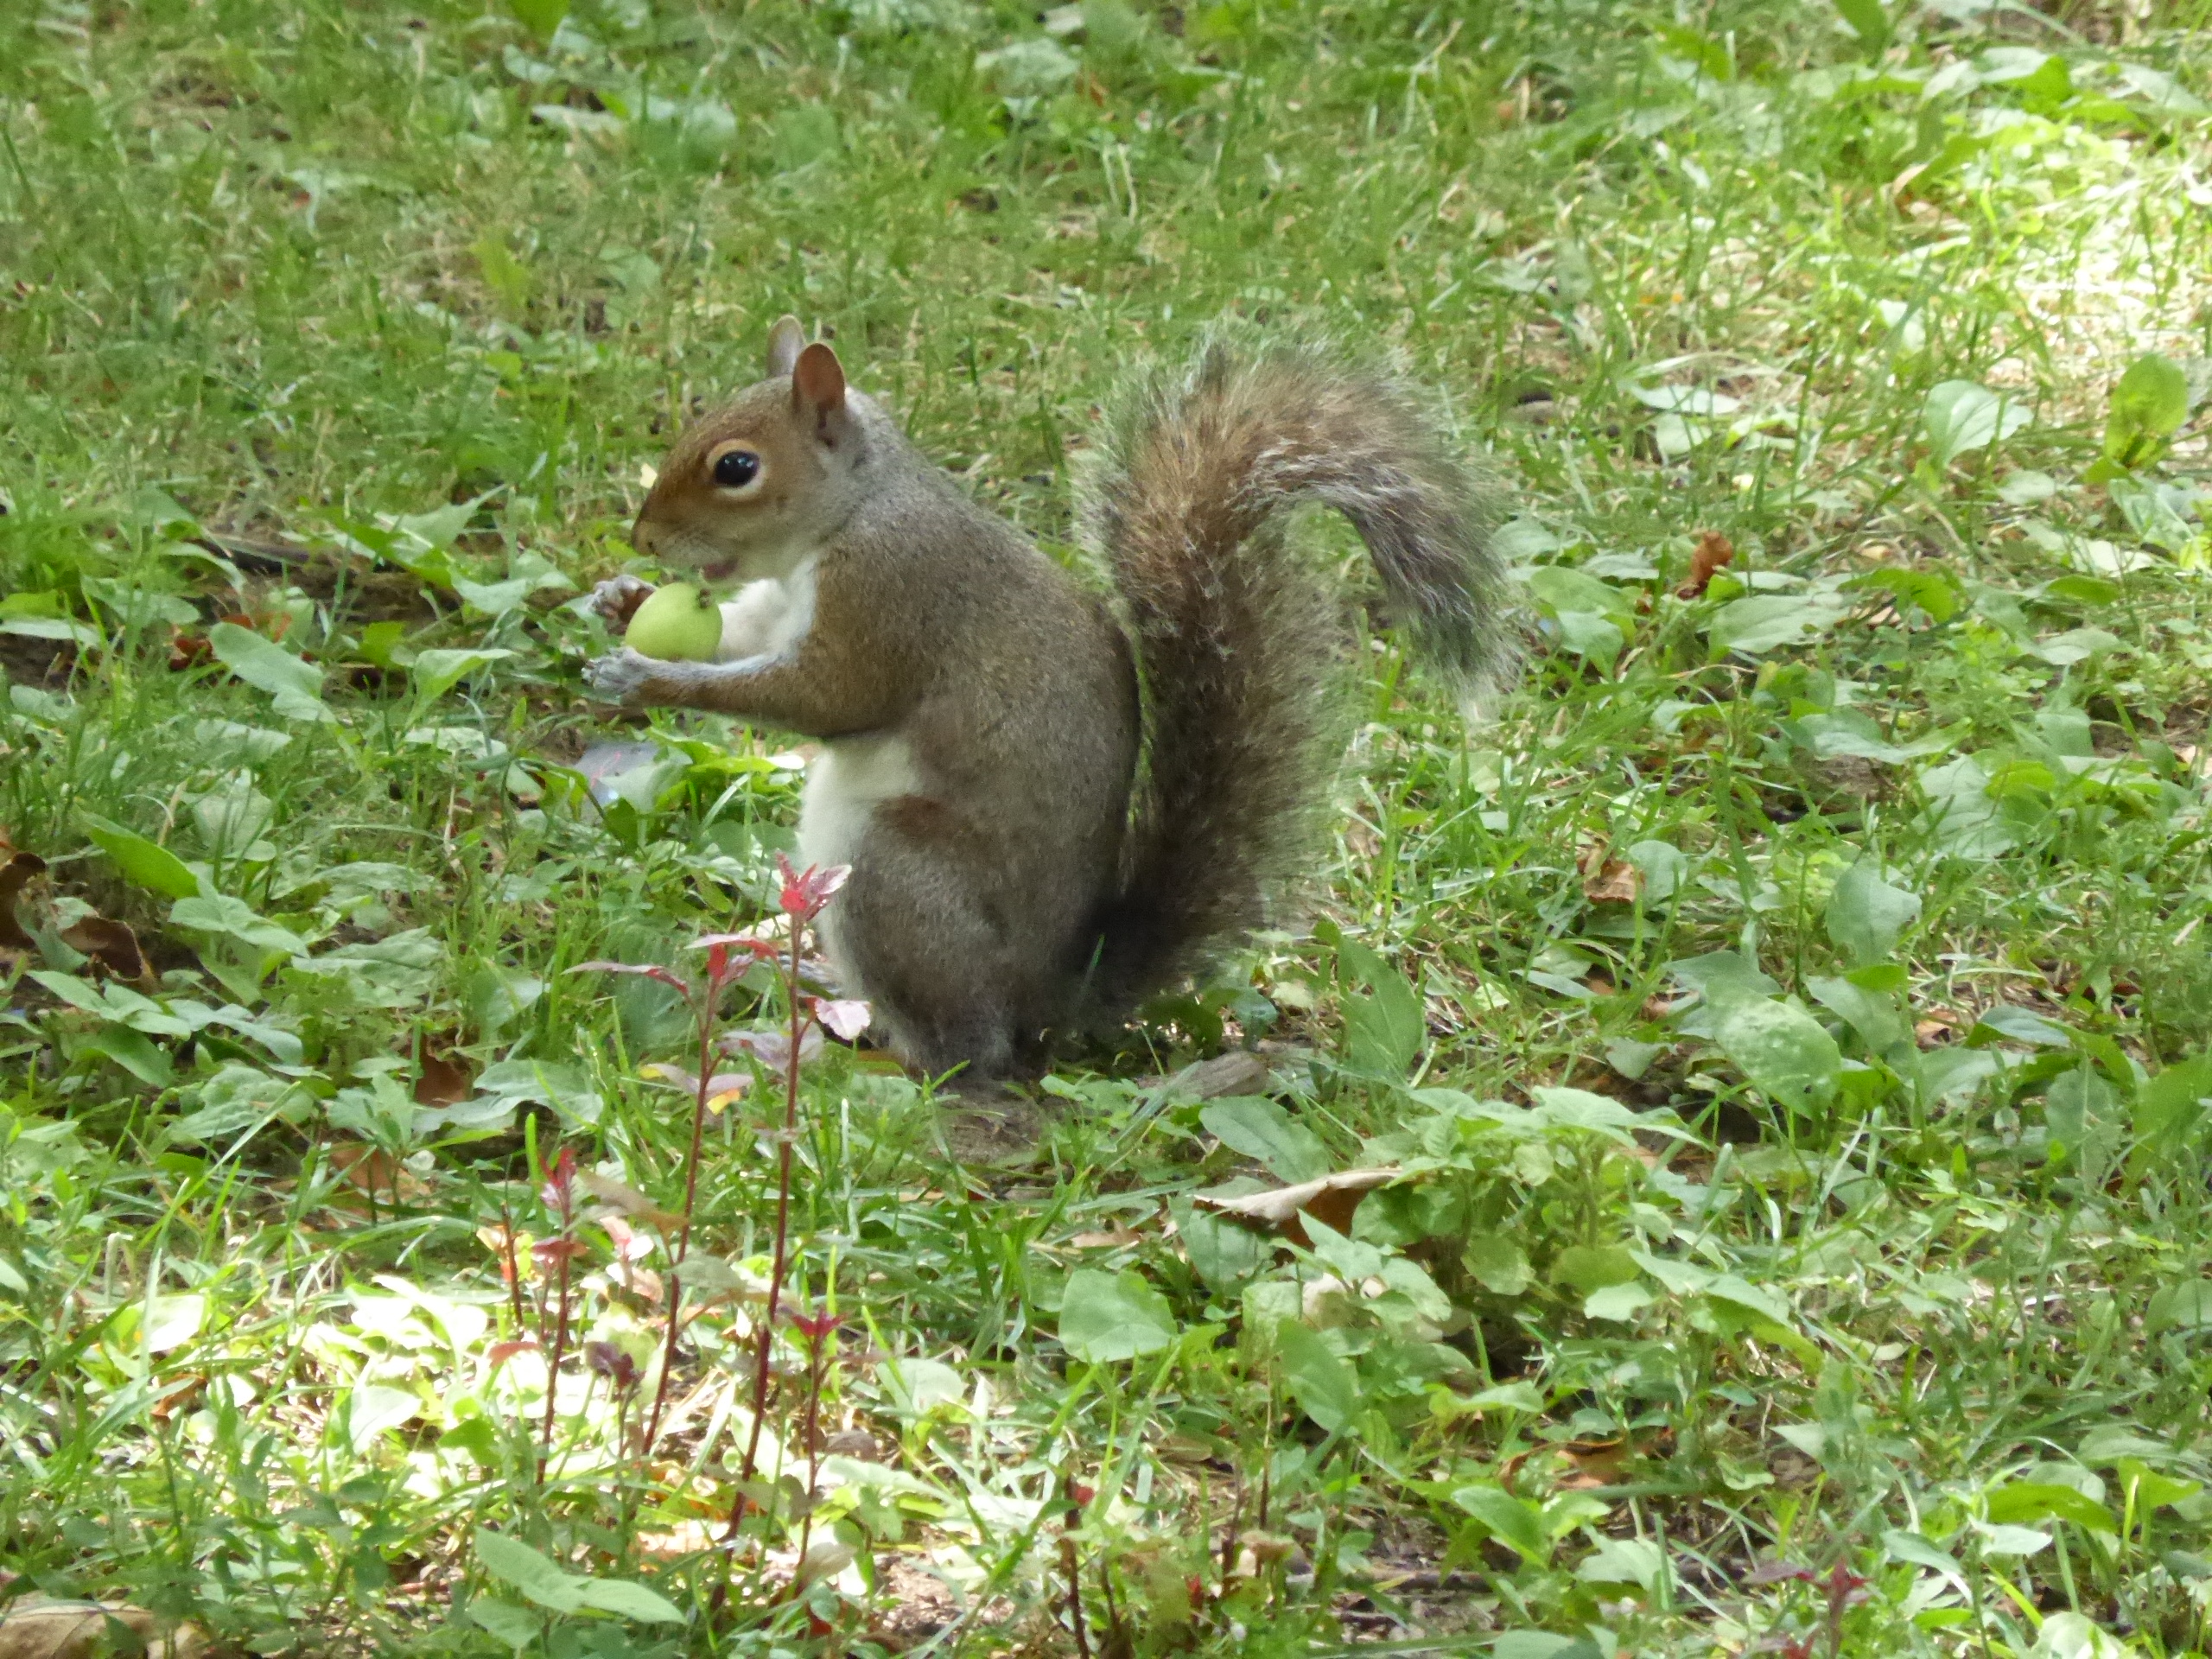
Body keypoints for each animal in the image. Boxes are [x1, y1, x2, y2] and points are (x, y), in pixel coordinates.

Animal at [588, 318, 1522, 1084]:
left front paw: (643, 678)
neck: (851, 516)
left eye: (736, 468)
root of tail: (1051, 994)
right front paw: (622, 600)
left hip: (896, 880)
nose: (644, 538)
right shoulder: (776, 607)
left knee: (964, 1054)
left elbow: (825, 698)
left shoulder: (891, 599)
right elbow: (741, 636)